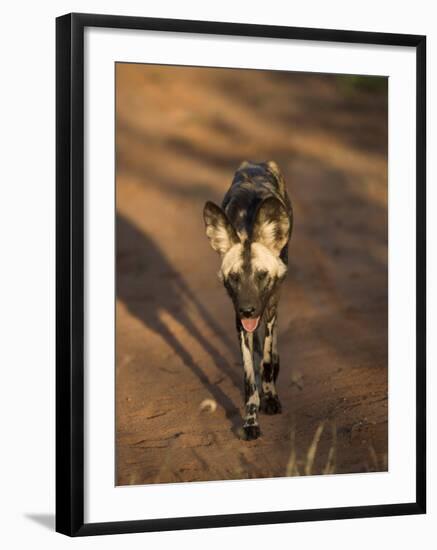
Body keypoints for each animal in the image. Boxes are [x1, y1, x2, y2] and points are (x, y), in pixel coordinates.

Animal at [203, 162, 292, 442]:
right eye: (234, 277)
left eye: (262, 275)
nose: (248, 309)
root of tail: (256, 163)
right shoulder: (239, 321)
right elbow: (249, 375)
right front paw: (250, 420)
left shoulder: (270, 305)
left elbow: (265, 360)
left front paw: (271, 398)